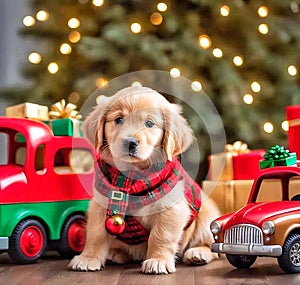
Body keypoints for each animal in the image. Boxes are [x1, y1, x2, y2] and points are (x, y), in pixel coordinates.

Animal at [69, 86, 220, 272]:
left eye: (149, 123)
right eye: (119, 119)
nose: (130, 142)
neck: (131, 178)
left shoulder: (171, 209)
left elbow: (161, 236)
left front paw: (158, 260)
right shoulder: (100, 205)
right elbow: (95, 234)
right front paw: (88, 258)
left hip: (207, 216)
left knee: (213, 247)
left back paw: (198, 253)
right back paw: (116, 253)